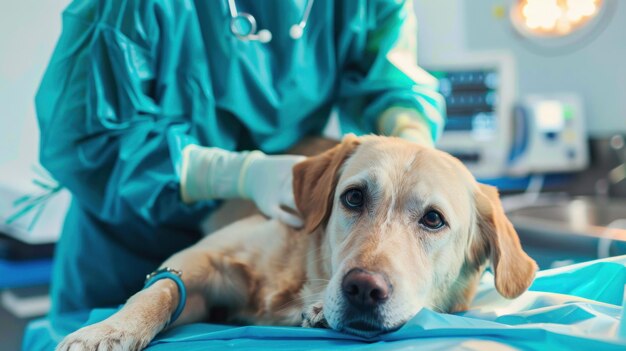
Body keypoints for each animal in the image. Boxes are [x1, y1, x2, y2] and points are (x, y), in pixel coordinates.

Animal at [56, 134, 536, 350]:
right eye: (353, 197)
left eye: (433, 219)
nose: (363, 288)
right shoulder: (198, 261)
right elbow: (156, 293)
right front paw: (109, 330)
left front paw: (320, 312)